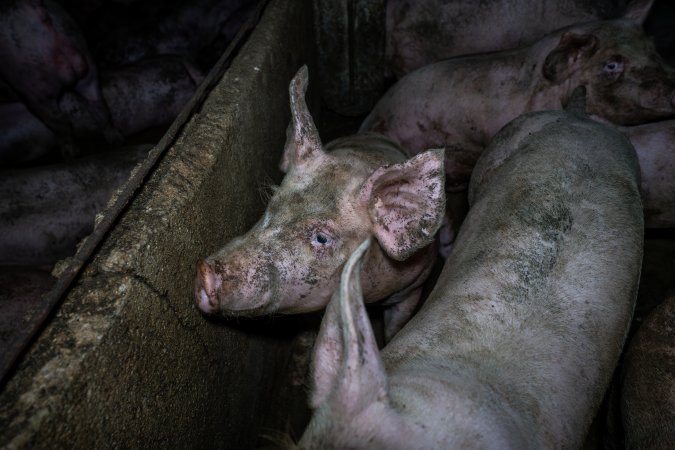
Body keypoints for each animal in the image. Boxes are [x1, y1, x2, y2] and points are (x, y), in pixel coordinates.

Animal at [0, 0, 121, 156]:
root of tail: (36, 12)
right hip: (81, 48)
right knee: (98, 103)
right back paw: (116, 140)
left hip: (32, 83)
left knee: (61, 122)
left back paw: (69, 154)